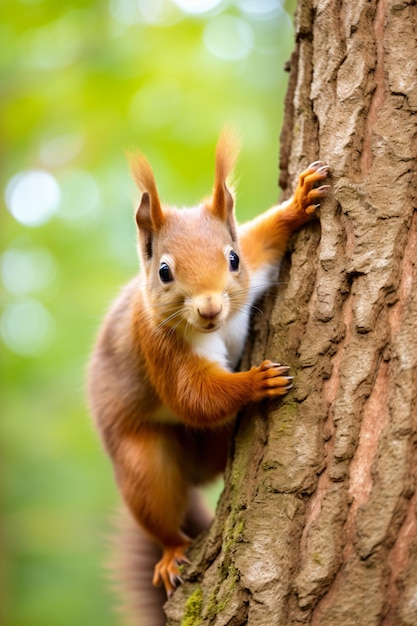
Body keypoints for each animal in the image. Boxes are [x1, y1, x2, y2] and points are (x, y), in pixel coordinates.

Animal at [87, 130, 328, 616]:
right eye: (164, 271)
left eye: (232, 260)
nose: (211, 307)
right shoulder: (157, 347)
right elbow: (193, 396)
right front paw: (257, 382)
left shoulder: (255, 265)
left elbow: (264, 238)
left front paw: (298, 202)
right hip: (142, 460)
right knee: (157, 509)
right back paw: (171, 550)